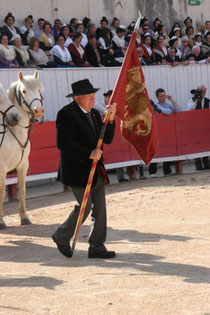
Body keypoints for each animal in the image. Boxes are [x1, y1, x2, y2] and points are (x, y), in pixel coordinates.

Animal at [0, 71, 44, 230]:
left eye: (39, 90)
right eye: (24, 91)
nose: (38, 111)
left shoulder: (23, 166)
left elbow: (23, 190)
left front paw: (24, 218)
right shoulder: (2, 169)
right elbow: (1, 193)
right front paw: (1, 222)